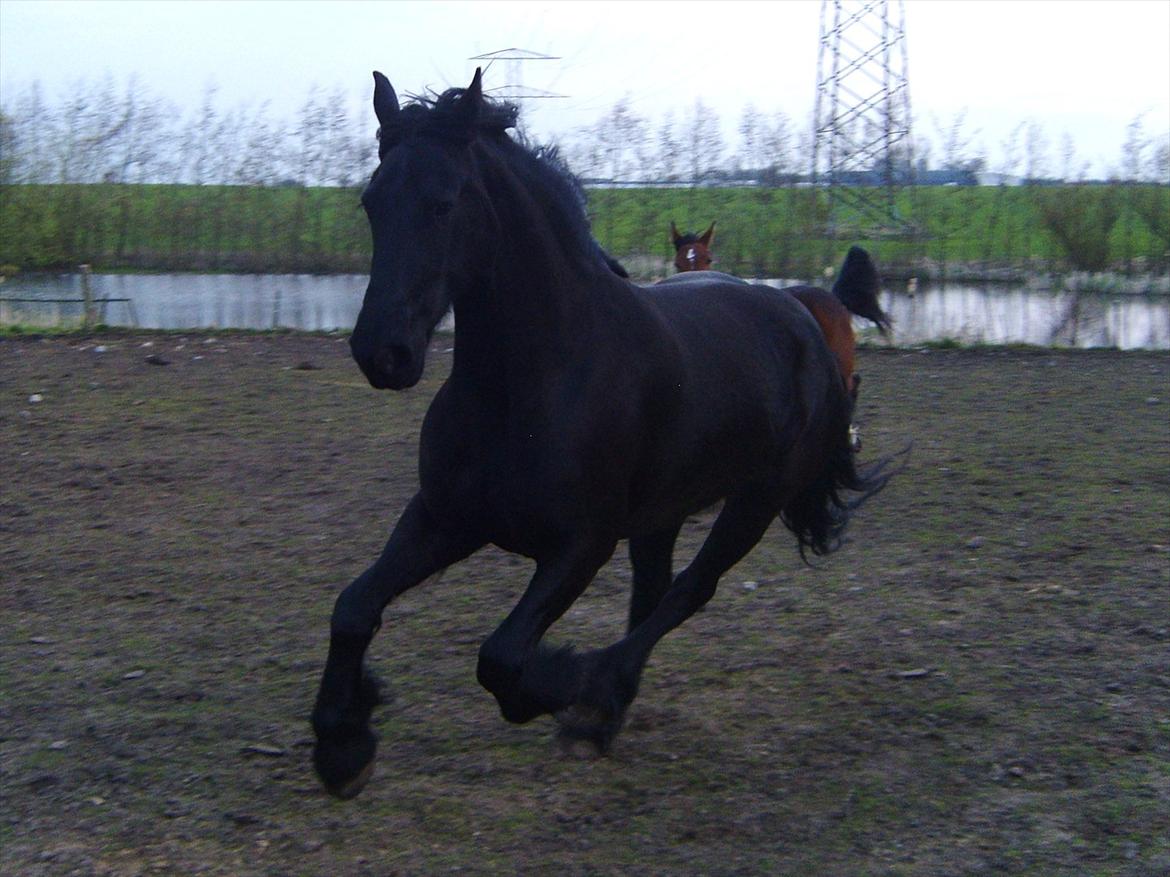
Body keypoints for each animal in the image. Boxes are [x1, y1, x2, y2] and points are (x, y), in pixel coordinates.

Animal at [306, 68, 889, 799]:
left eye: (443, 203)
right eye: (371, 202)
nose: (382, 353)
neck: (530, 382)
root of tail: (807, 317)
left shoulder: (581, 543)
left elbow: (500, 659)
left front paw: (573, 682)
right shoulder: (446, 517)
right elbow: (353, 606)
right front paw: (343, 745)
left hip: (754, 502)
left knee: (688, 592)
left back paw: (601, 698)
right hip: (662, 513)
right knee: (653, 594)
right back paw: (607, 711)